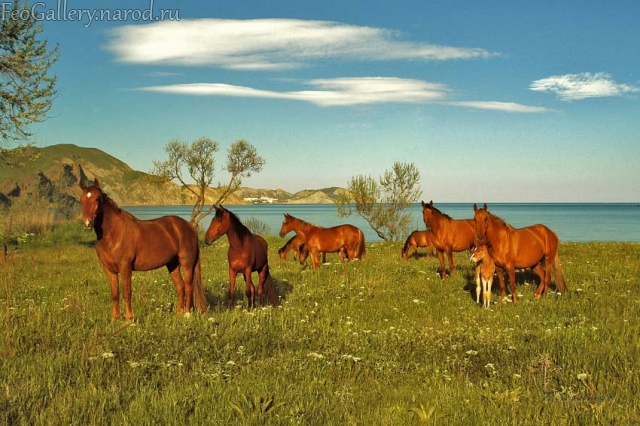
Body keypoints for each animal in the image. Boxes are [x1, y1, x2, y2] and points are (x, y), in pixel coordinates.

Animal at [78, 178, 206, 322]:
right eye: (81, 199)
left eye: (97, 199)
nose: (87, 223)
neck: (114, 234)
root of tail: (189, 226)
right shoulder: (109, 270)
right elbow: (115, 293)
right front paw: (115, 319)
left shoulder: (125, 267)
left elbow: (127, 292)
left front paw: (129, 319)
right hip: (172, 264)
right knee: (180, 287)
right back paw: (178, 313)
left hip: (187, 263)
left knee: (189, 287)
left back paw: (187, 314)